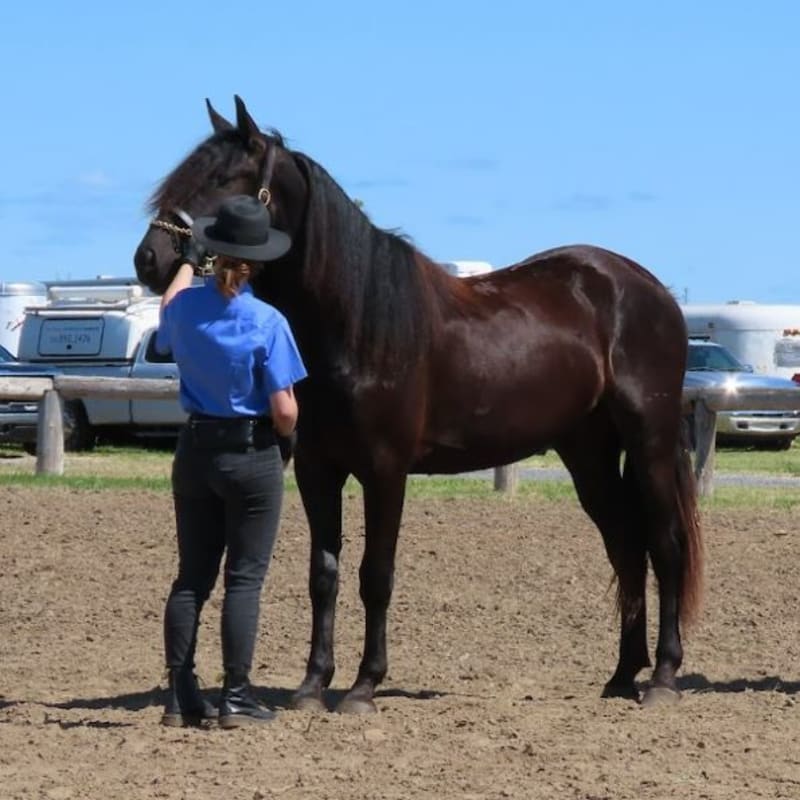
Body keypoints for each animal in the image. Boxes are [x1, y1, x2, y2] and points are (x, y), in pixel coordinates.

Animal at [134, 95, 702, 713]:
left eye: (225, 180)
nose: (150, 259)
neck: (353, 324)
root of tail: (649, 288)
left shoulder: (386, 470)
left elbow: (375, 574)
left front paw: (364, 686)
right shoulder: (316, 468)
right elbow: (324, 573)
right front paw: (312, 686)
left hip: (648, 439)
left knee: (665, 545)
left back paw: (663, 678)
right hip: (588, 453)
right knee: (627, 545)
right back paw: (621, 675)